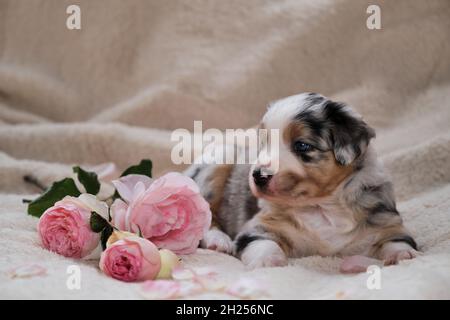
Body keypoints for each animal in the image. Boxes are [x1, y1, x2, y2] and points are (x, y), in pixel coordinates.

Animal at [183, 92, 418, 270]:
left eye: (302, 145)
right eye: (264, 143)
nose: (258, 175)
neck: (322, 207)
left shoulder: (386, 222)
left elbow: (397, 241)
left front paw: (403, 255)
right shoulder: (257, 227)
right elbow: (263, 244)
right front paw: (269, 261)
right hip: (219, 160)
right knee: (205, 216)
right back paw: (219, 241)